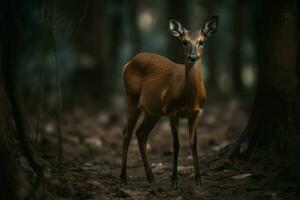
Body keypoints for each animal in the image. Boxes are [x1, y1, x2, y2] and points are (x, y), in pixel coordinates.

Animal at [119, 15, 218, 188]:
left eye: (201, 41)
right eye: (184, 41)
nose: (192, 57)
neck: (188, 97)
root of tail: (128, 63)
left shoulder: (198, 111)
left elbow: (193, 143)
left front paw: (198, 179)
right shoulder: (172, 111)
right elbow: (176, 144)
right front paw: (174, 181)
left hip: (153, 112)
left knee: (141, 134)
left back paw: (151, 177)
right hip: (132, 98)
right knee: (127, 133)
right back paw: (123, 177)